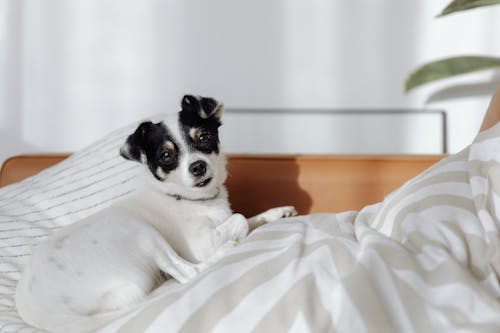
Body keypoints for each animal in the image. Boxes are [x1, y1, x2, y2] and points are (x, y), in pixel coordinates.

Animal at [14, 94, 296, 332]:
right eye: (166, 155)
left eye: (204, 137)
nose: (198, 167)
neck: (191, 199)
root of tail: (47, 316)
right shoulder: (201, 245)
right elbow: (239, 220)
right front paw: (238, 236)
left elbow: (249, 218)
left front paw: (278, 212)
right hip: (143, 234)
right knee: (188, 273)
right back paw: (225, 251)